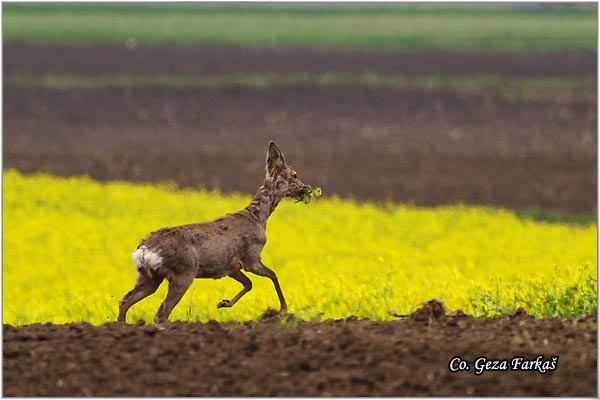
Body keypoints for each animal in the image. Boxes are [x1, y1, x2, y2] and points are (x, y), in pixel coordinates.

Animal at [116, 142, 310, 324]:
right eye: (295, 174)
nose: (304, 188)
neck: (257, 216)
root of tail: (144, 250)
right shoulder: (252, 257)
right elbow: (273, 275)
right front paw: (283, 310)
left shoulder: (231, 266)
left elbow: (249, 283)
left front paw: (223, 303)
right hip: (184, 273)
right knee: (161, 313)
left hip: (149, 277)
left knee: (124, 300)